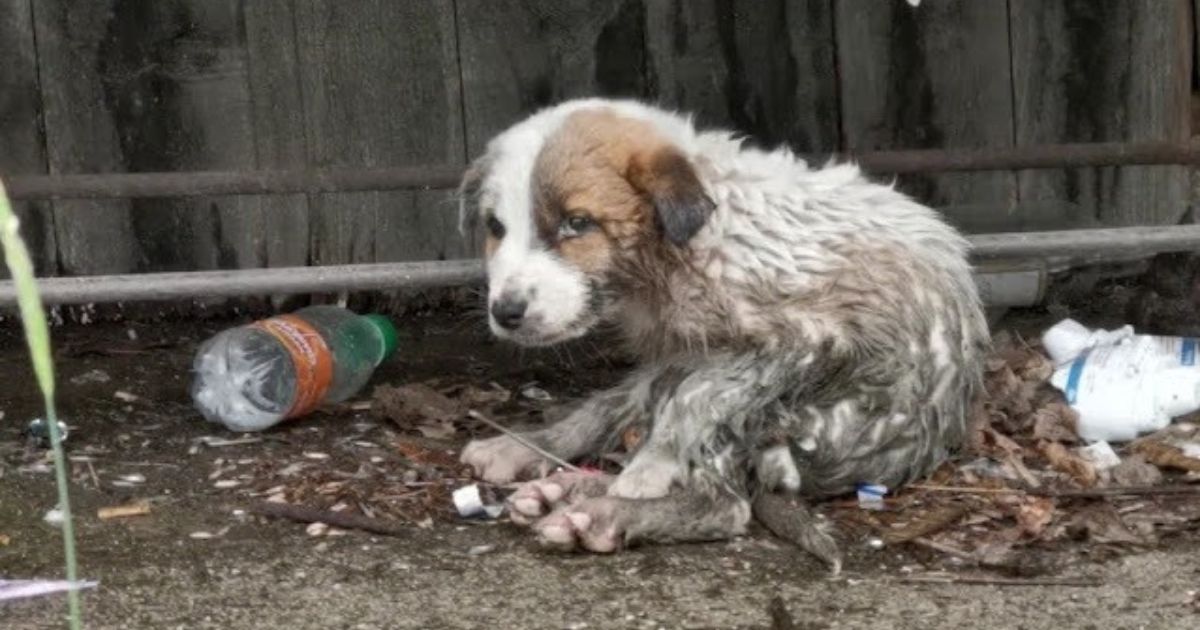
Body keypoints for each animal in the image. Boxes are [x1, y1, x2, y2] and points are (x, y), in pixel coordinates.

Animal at [456, 99, 984, 564]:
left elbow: (699, 397)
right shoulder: (675, 353)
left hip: (797, 419)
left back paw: (603, 513)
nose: (506, 312)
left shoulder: (806, 340)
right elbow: (605, 408)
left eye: (577, 223)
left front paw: (650, 468)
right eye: (495, 227)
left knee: (725, 502)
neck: (680, 250)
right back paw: (545, 472)